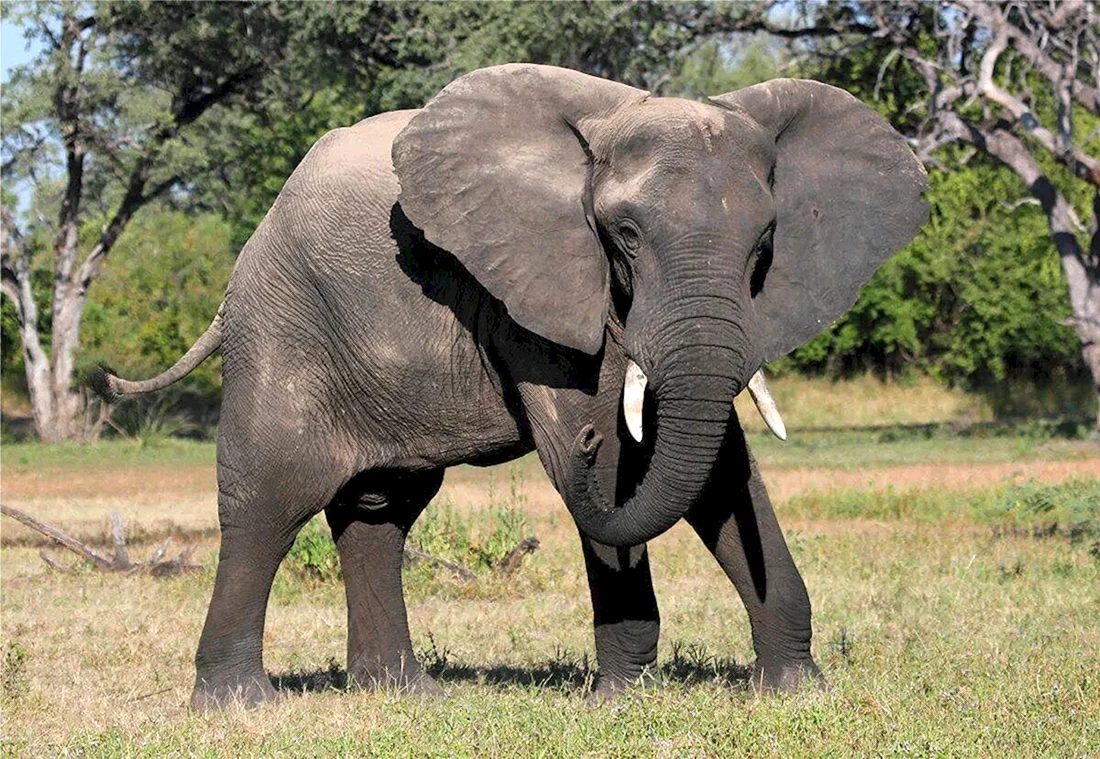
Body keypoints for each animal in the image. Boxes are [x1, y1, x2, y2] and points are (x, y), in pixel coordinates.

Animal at [93, 64, 927, 709]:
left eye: (764, 243)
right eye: (624, 236)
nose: (584, 443)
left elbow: (720, 468)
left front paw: (796, 690)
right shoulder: (536, 297)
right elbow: (628, 467)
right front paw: (621, 701)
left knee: (379, 509)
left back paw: (406, 694)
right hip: (283, 323)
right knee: (270, 499)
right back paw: (238, 703)